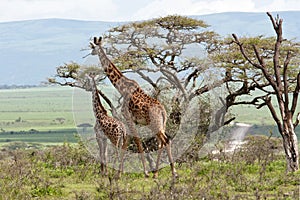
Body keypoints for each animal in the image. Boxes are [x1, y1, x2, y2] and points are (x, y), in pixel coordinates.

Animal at [89, 36, 178, 177]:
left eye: (93, 47)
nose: (91, 52)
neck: (122, 87)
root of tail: (163, 111)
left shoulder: (127, 117)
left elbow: (136, 142)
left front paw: (144, 172)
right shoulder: (133, 121)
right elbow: (128, 143)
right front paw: (119, 173)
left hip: (156, 125)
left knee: (166, 141)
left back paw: (173, 172)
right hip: (160, 125)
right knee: (161, 143)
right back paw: (156, 173)